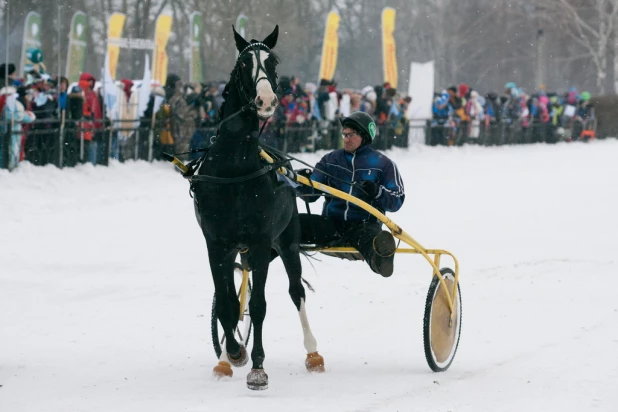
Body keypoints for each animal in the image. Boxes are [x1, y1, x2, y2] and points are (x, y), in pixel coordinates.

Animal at [191, 25, 322, 390]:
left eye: (273, 62)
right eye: (242, 64)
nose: (266, 100)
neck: (234, 169)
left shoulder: (263, 241)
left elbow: (260, 305)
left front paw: (258, 368)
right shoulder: (216, 243)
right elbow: (226, 304)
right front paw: (233, 353)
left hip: (287, 240)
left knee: (296, 291)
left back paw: (312, 352)